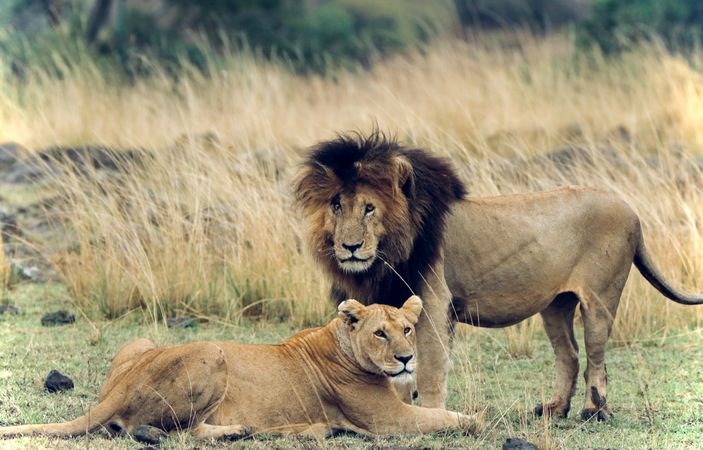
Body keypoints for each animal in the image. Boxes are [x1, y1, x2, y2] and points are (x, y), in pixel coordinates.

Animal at [0, 298, 484, 442]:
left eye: (407, 329)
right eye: (380, 334)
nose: (406, 358)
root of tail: (120, 387)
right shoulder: (388, 420)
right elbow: (444, 418)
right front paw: (477, 421)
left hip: (141, 345)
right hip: (213, 353)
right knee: (179, 432)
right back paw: (243, 431)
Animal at [296, 132, 703, 420]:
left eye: (369, 208)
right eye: (336, 205)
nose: (350, 247)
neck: (388, 255)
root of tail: (631, 209)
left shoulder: (434, 302)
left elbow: (429, 366)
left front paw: (430, 412)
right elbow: (393, 363)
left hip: (601, 297)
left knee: (595, 353)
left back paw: (594, 412)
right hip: (555, 303)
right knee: (569, 354)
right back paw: (554, 410)